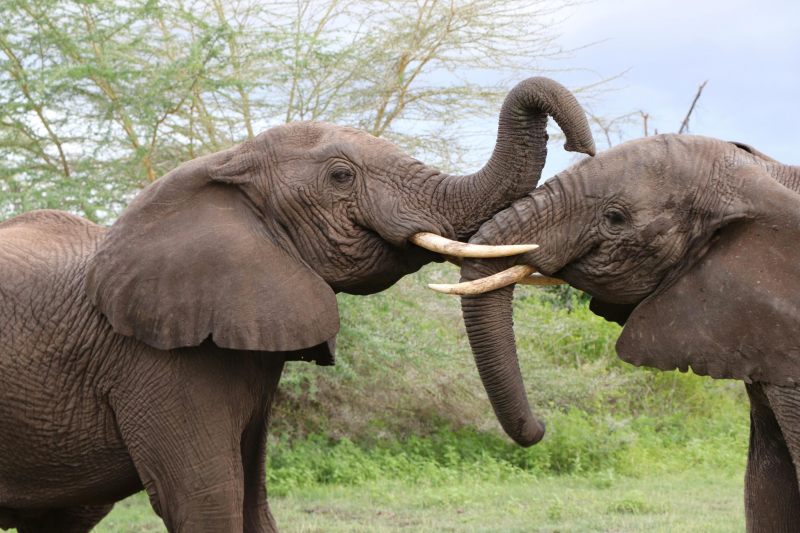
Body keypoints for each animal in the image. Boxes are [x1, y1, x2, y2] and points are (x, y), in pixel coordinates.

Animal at [0, 78, 594, 532]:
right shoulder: (155, 364)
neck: (225, 162)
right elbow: (204, 503)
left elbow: (253, 504)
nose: (583, 149)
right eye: (341, 176)